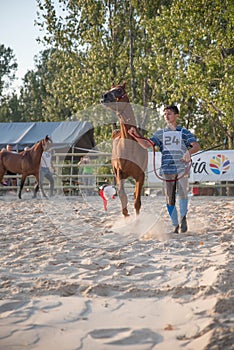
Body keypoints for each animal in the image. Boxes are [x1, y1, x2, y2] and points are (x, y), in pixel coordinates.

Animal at [100, 83, 147, 217]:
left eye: (119, 90)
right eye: (110, 89)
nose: (104, 96)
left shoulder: (140, 175)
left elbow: (137, 201)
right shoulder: (119, 173)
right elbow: (122, 195)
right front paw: (126, 215)